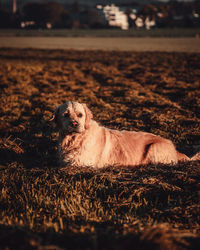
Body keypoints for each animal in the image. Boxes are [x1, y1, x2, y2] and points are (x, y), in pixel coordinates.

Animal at [50, 101, 200, 168]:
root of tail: (175, 149)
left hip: (154, 148)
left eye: (80, 115)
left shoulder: (82, 162)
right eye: (65, 115)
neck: (75, 139)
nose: (74, 124)